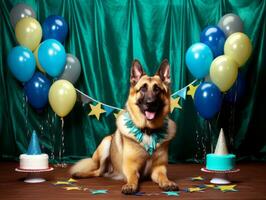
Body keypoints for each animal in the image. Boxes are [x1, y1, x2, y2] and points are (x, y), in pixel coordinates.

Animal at [70, 59, 179, 194]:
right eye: (142, 89)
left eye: (157, 89)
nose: (150, 103)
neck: (147, 131)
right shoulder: (130, 167)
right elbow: (133, 177)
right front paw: (130, 185)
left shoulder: (159, 168)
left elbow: (163, 176)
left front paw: (168, 182)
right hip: (106, 142)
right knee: (98, 172)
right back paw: (80, 174)